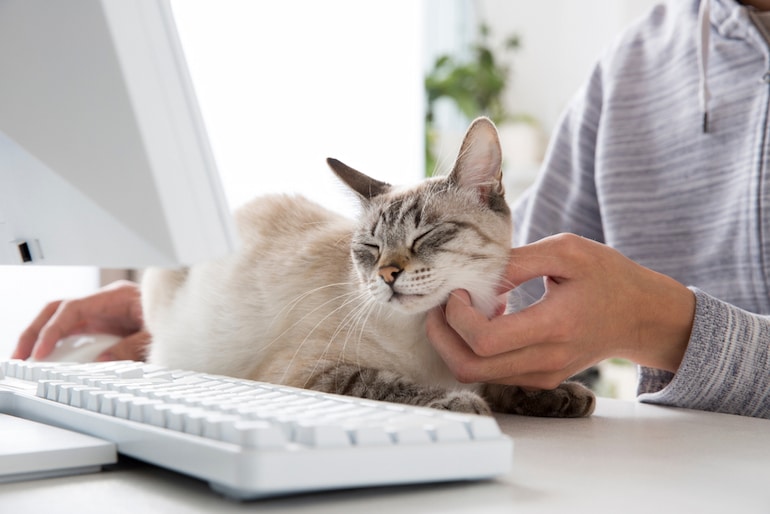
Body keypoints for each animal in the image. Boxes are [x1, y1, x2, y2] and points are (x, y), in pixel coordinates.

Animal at [140, 116, 592, 416]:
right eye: (371, 247)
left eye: (425, 236)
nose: (387, 275)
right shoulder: (306, 373)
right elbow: (386, 383)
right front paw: (460, 401)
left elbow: (506, 374)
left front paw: (560, 395)